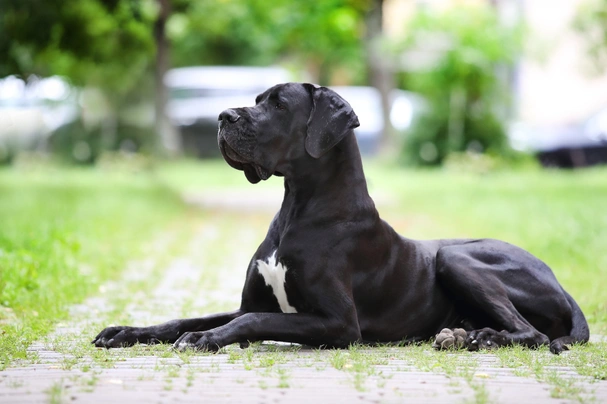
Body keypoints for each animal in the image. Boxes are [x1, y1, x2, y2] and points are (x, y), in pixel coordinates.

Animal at [92, 83, 592, 354]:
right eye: (257, 99)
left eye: (279, 105)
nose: (223, 115)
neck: (297, 207)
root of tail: (561, 284)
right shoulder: (249, 301)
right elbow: (184, 319)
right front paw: (125, 330)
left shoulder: (338, 323)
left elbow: (248, 323)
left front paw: (206, 339)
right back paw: (461, 334)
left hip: (456, 258)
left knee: (529, 331)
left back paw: (480, 339)